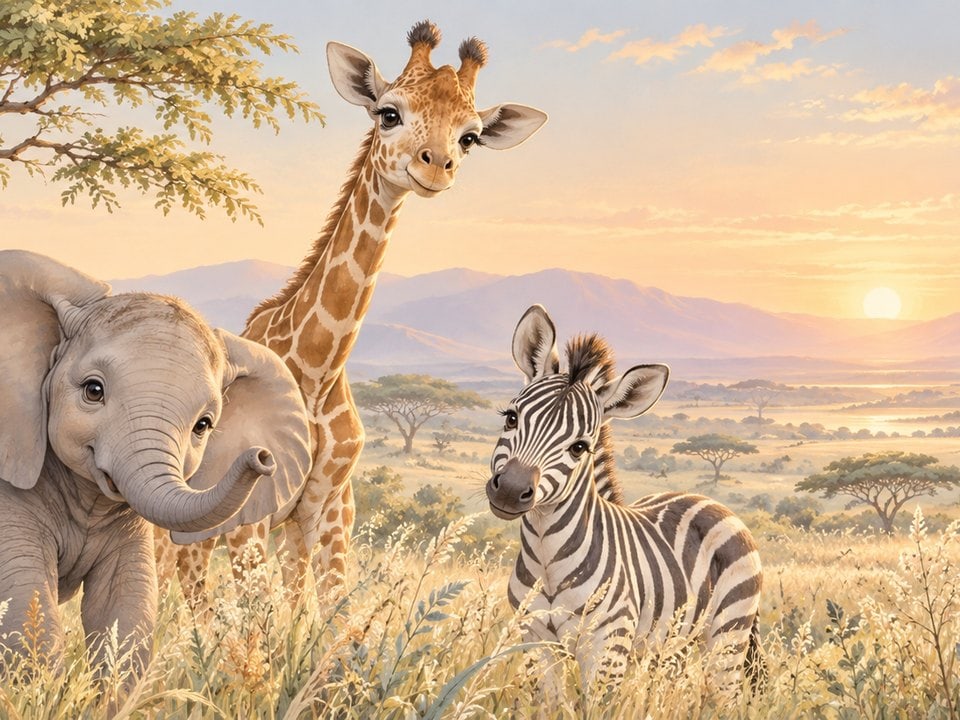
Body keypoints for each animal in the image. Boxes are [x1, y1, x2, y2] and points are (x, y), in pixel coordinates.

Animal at [155, 20, 547, 604]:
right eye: (389, 112)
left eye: (470, 136)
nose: (437, 167)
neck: (318, 368)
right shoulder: (250, 516)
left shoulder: (327, 510)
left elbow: (327, 613)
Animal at [486, 304, 764, 695]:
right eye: (511, 418)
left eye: (579, 447)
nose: (510, 490)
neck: (546, 558)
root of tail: (712, 502)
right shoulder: (533, 641)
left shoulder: (607, 646)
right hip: (674, 641)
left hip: (728, 632)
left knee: (726, 693)